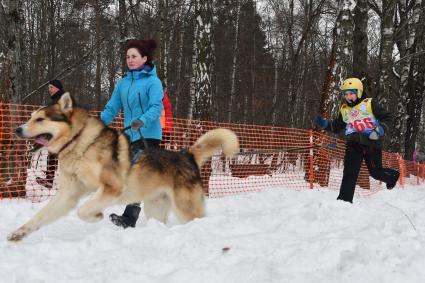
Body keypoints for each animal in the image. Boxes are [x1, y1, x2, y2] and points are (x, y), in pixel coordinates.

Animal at [8, 93, 238, 242]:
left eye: (40, 119)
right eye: (31, 117)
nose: (17, 129)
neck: (80, 143)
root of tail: (187, 155)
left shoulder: (111, 188)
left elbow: (83, 209)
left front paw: (96, 216)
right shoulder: (68, 194)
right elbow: (40, 216)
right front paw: (19, 233)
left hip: (186, 209)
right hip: (155, 208)